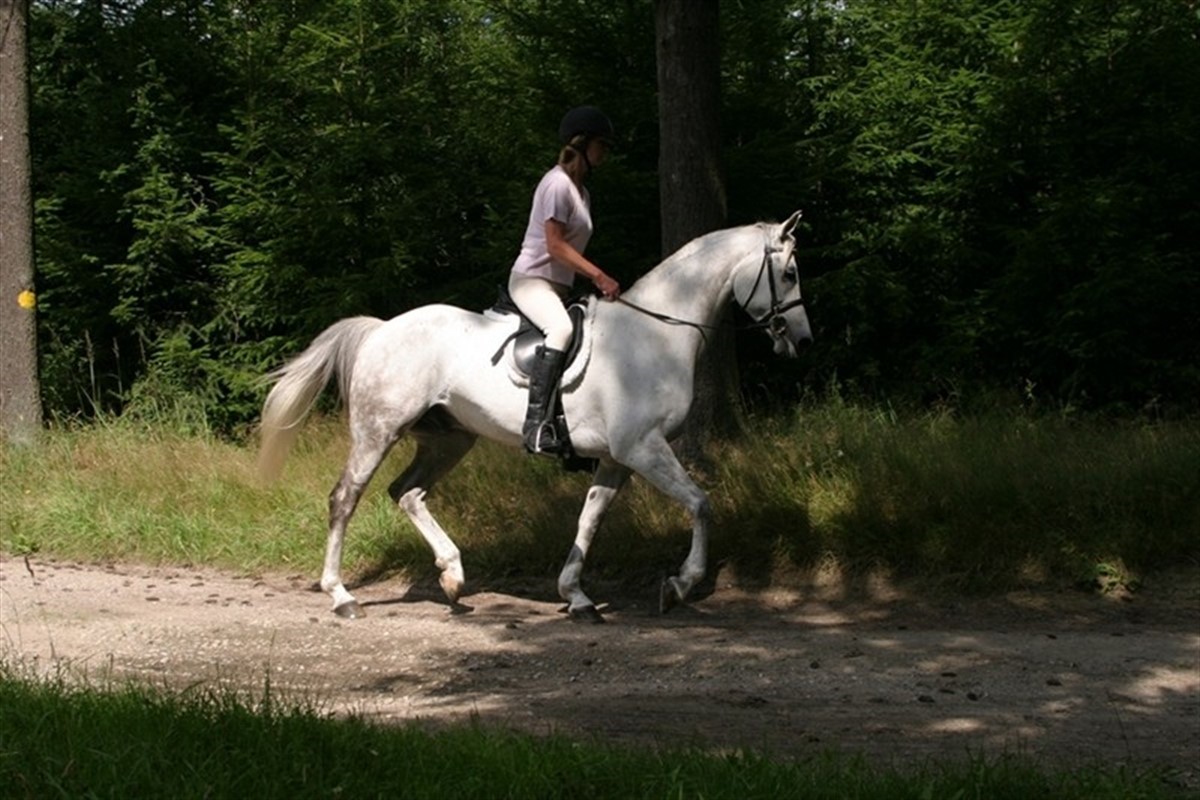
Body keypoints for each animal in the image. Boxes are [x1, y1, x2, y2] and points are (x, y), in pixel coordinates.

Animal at [257, 211, 811, 623]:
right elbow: (699, 503)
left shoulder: (618, 458)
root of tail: (381, 329)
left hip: (449, 438)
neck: (656, 334)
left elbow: (591, 518)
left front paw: (578, 597)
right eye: (788, 273)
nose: (802, 340)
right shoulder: (643, 447)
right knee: (345, 499)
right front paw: (680, 584)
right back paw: (342, 596)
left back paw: (453, 579)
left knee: (407, 492)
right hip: (379, 430)